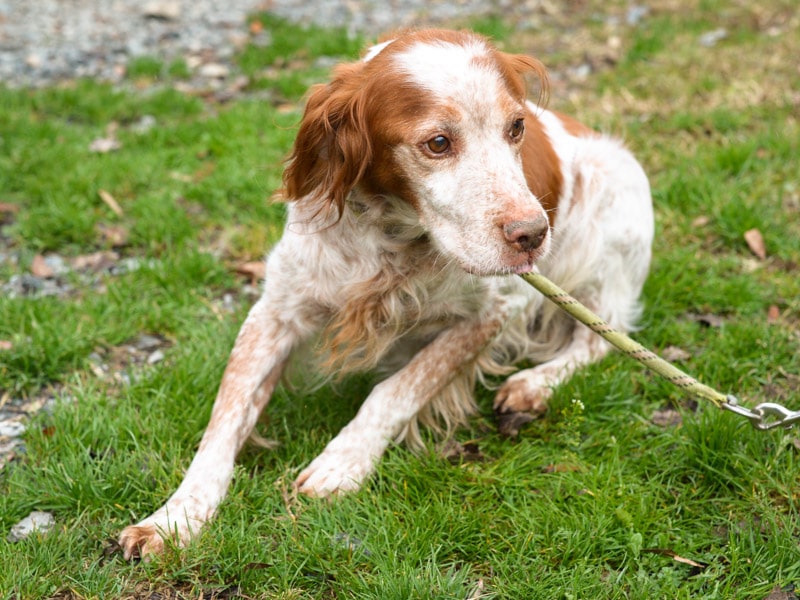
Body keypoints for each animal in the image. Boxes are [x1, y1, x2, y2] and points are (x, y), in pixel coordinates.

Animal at [120, 28, 656, 560]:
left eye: (517, 127)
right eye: (438, 143)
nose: (533, 234)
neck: (393, 239)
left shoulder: (497, 310)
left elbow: (399, 388)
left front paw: (341, 463)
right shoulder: (276, 311)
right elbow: (223, 421)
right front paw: (174, 518)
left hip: (609, 234)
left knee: (598, 341)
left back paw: (531, 386)